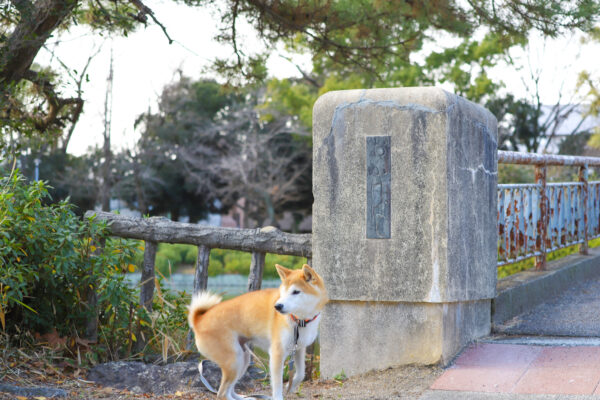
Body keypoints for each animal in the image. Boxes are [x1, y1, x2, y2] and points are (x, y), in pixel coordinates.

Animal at [188, 266, 328, 400]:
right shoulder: (277, 353)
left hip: (242, 359)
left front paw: (291, 385)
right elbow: (277, 384)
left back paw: (245, 398)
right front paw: (279, 396)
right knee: (221, 394)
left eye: (296, 292)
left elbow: (300, 374)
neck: (299, 321)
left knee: (229, 390)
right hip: (234, 360)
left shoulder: (299, 348)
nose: (277, 306)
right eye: (282, 293)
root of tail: (199, 321)